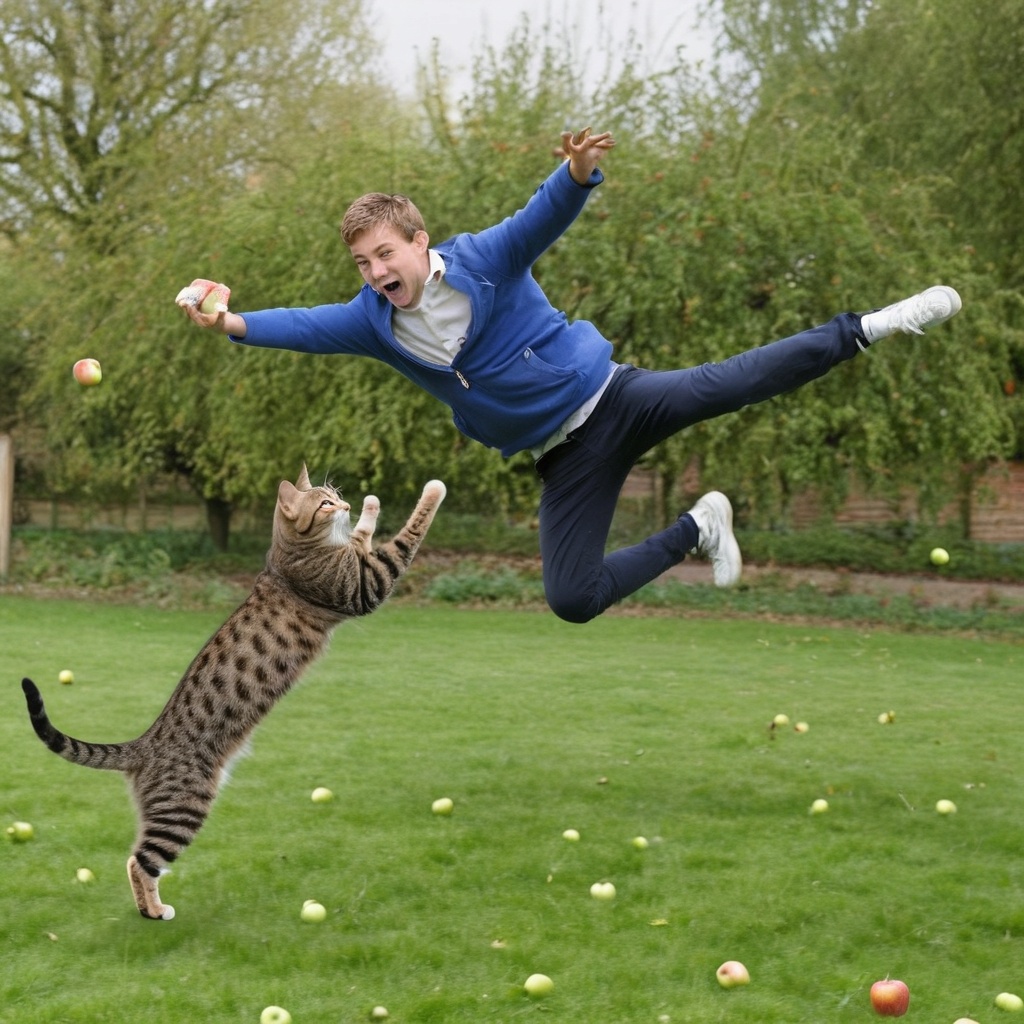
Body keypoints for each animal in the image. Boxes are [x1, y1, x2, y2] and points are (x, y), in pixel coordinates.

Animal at [21, 466, 446, 921]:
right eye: (325, 503)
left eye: (334, 494)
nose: (345, 504)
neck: (288, 554)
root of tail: (144, 744)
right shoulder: (365, 586)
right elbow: (408, 533)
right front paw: (431, 490)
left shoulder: (359, 563)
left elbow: (363, 535)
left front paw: (368, 505)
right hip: (184, 808)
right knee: (140, 861)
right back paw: (155, 911)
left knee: (136, 857)